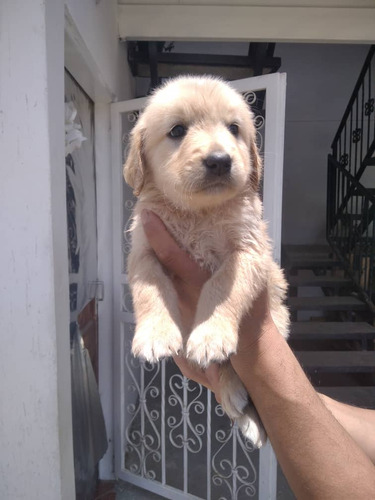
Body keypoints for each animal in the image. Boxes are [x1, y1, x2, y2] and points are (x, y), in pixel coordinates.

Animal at [125, 75, 290, 446]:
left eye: (234, 129)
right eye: (177, 130)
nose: (219, 160)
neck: (198, 213)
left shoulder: (249, 251)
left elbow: (219, 287)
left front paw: (210, 335)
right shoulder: (144, 250)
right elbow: (150, 290)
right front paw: (155, 334)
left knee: (234, 369)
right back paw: (236, 405)